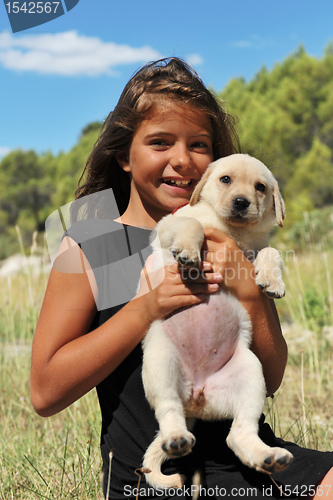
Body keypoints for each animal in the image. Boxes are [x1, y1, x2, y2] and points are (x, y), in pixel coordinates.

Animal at [141, 153, 292, 488]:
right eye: (225, 179)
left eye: (260, 187)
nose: (241, 202)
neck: (231, 229)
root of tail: (196, 399)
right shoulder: (170, 224)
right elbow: (193, 222)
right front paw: (189, 252)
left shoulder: (254, 250)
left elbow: (273, 251)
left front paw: (272, 281)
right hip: (161, 361)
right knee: (168, 410)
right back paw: (176, 438)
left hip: (251, 374)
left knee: (238, 435)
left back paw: (268, 456)